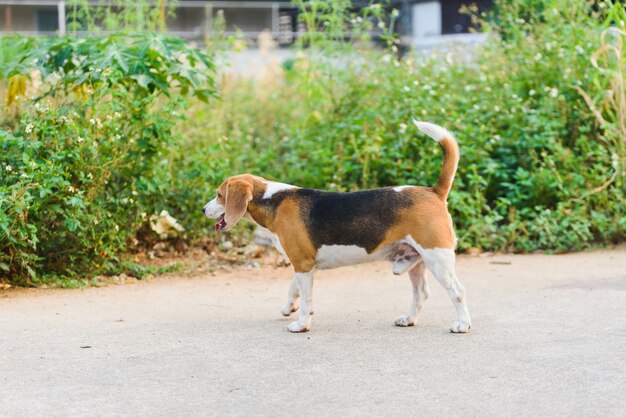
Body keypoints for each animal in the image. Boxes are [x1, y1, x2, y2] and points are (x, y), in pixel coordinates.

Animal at [202, 120, 470, 334]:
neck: (273, 200)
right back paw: (409, 319)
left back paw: (462, 324)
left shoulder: (303, 265)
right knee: (421, 293)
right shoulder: (302, 264)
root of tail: (434, 192)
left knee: (457, 291)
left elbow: (306, 299)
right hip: (415, 260)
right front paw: (289, 307)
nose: (203, 210)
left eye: (219, 195)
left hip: (437, 259)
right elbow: (294, 288)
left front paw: (302, 324)